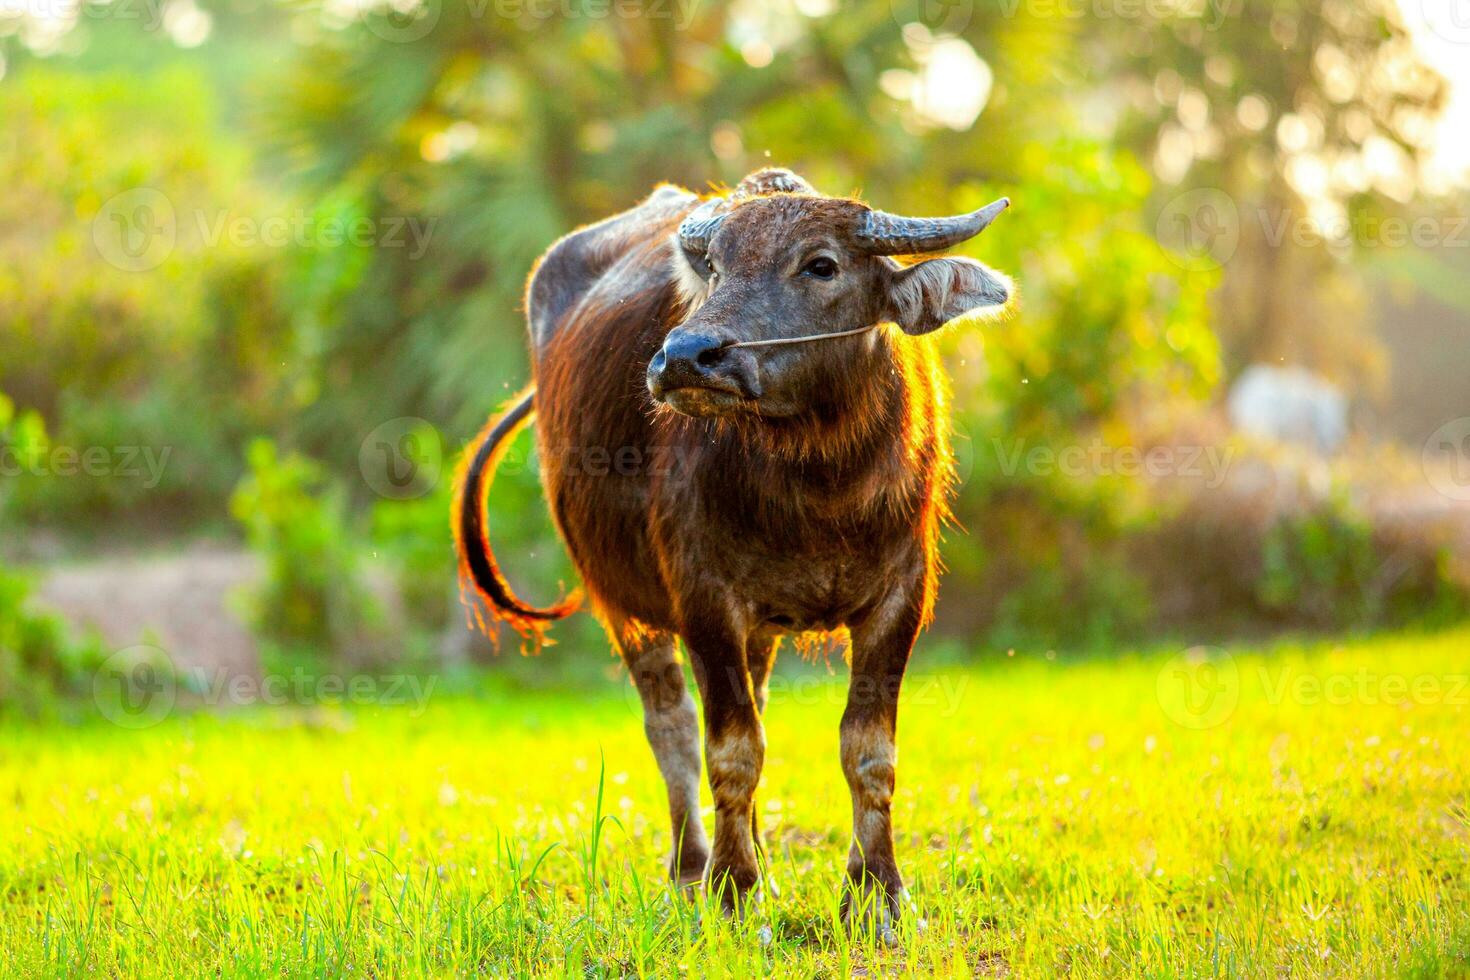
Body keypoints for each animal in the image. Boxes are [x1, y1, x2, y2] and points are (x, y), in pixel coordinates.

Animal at [458, 170, 1011, 934]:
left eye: (821, 264)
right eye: (716, 266)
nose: (688, 358)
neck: (821, 485)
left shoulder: (900, 598)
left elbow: (868, 752)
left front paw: (878, 895)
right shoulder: (704, 600)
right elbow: (731, 750)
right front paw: (733, 891)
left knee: (757, 708)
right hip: (623, 604)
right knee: (673, 730)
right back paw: (693, 868)